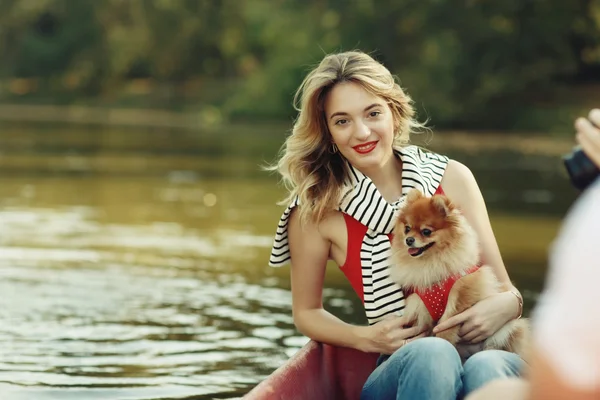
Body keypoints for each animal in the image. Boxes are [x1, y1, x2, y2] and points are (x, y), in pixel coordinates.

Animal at [392, 190, 528, 360]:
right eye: (407, 229)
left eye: (426, 231)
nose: (409, 240)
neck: (431, 262)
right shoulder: (421, 304)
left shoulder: (461, 294)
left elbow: (446, 326)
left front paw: (443, 341)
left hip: (507, 330)